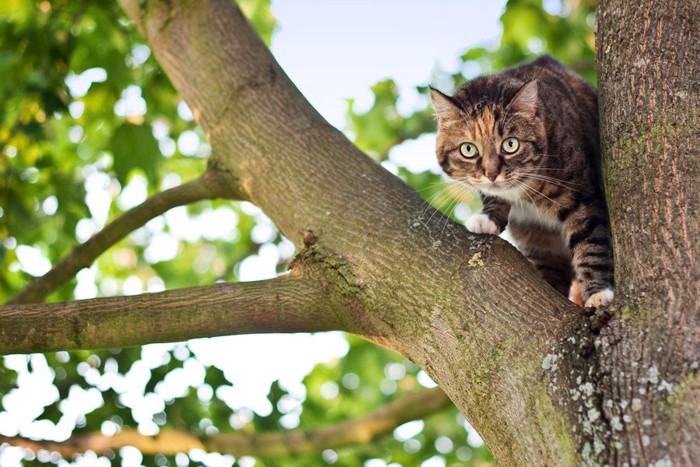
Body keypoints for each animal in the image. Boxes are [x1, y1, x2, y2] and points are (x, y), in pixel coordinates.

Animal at [430, 54, 616, 308]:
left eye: (510, 144)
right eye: (468, 149)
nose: (491, 173)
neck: (526, 193)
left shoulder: (584, 198)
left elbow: (591, 244)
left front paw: (598, 294)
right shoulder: (537, 238)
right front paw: (488, 218)